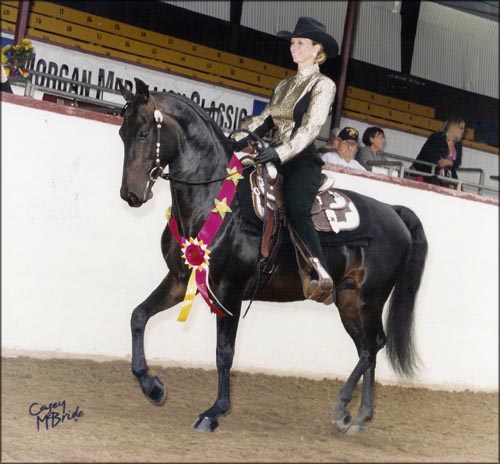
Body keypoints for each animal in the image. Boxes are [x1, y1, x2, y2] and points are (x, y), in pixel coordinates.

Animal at [118, 78, 428, 434]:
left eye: (144, 133)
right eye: (122, 133)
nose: (131, 194)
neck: (216, 200)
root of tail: (393, 211)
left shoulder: (229, 290)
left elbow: (224, 352)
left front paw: (214, 411)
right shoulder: (180, 279)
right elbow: (139, 316)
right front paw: (152, 386)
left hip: (371, 298)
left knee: (375, 344)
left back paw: (343, 407)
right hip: (349, 300)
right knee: (367, 348)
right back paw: (359, 415)